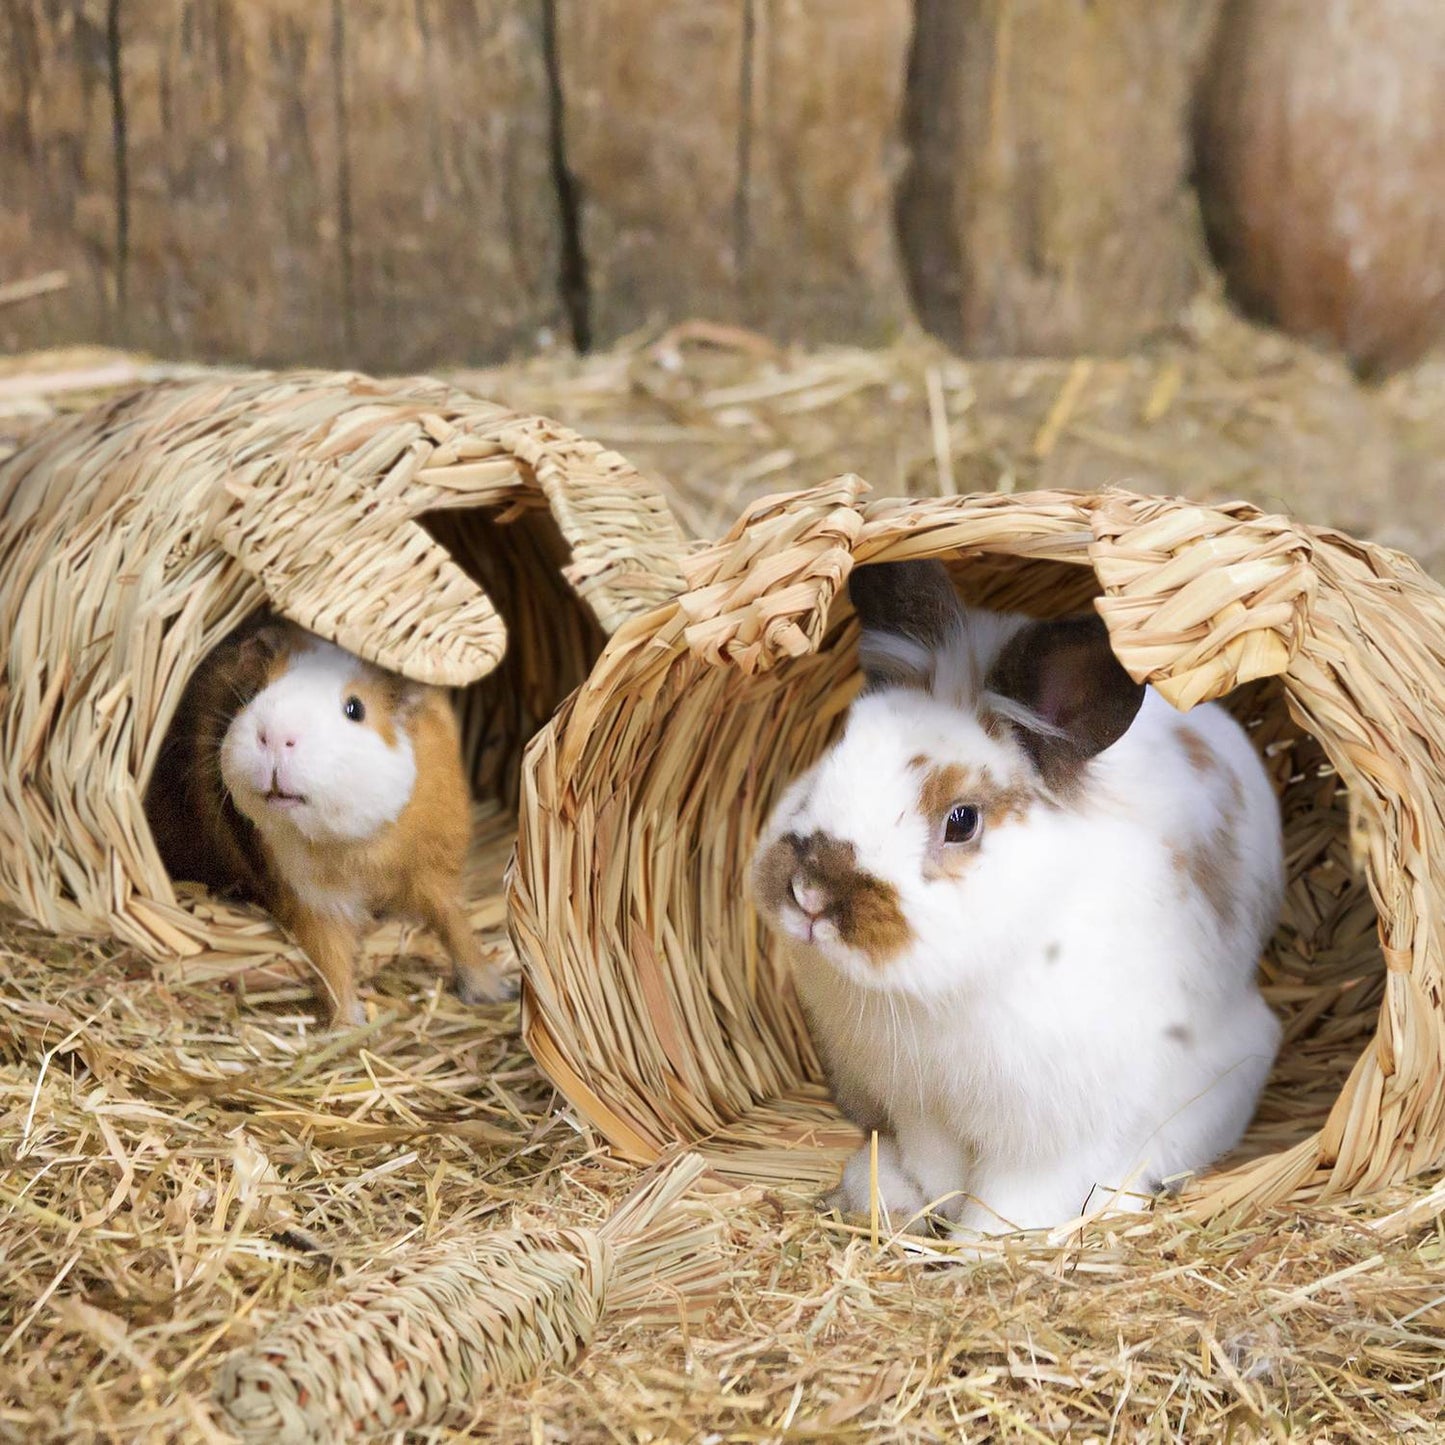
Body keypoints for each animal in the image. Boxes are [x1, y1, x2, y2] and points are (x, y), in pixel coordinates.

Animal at [146, 614, 514, 1025]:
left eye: (355, 708)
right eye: (257, 690)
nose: (276, 736)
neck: (360, 846)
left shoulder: (434, 868)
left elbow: (455, 924)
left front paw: (491, 991)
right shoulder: (310, 897)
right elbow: (331, 957)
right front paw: (349, 1023)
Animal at [750, 559, 1284, 1236]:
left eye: (961, 821)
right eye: (834, 755)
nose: (810, 894)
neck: (946, 992)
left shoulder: (1055, 1135)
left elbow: (1016, 1201)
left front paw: (974, 1248)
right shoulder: (919, 1102)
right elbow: (939, 1168)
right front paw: (927, 1203)